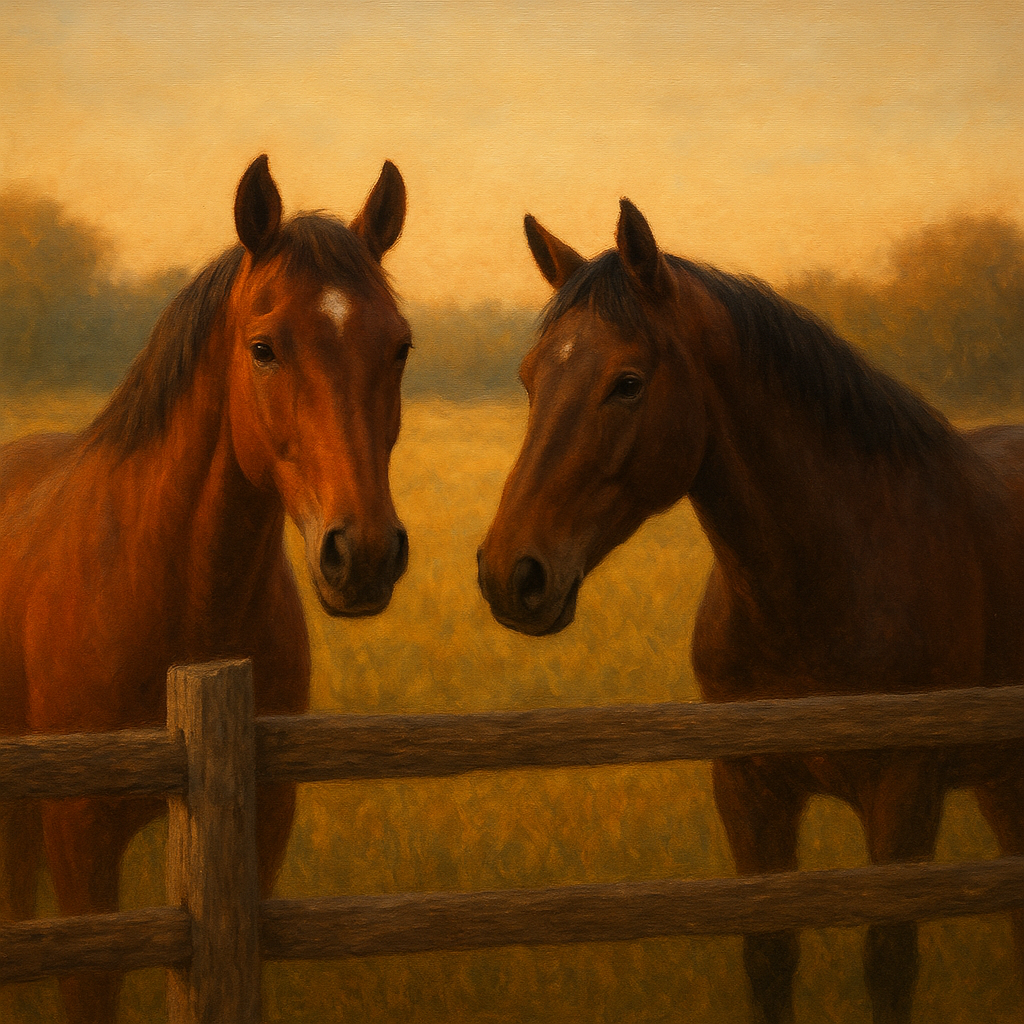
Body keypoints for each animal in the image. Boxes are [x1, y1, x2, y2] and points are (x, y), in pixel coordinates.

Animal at [0, 153, 411, 1024]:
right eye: (263, 347)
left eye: (398, 346)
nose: (362, 553)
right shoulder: (81, 832)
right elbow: (86, 984)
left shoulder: (263, 822)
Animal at [477, 199, 1024, 1023]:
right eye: (530, 377)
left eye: (627, 382)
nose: (511, 574)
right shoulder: (749, 789)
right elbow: (769, 954)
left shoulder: (906, 790)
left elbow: (889, 964)